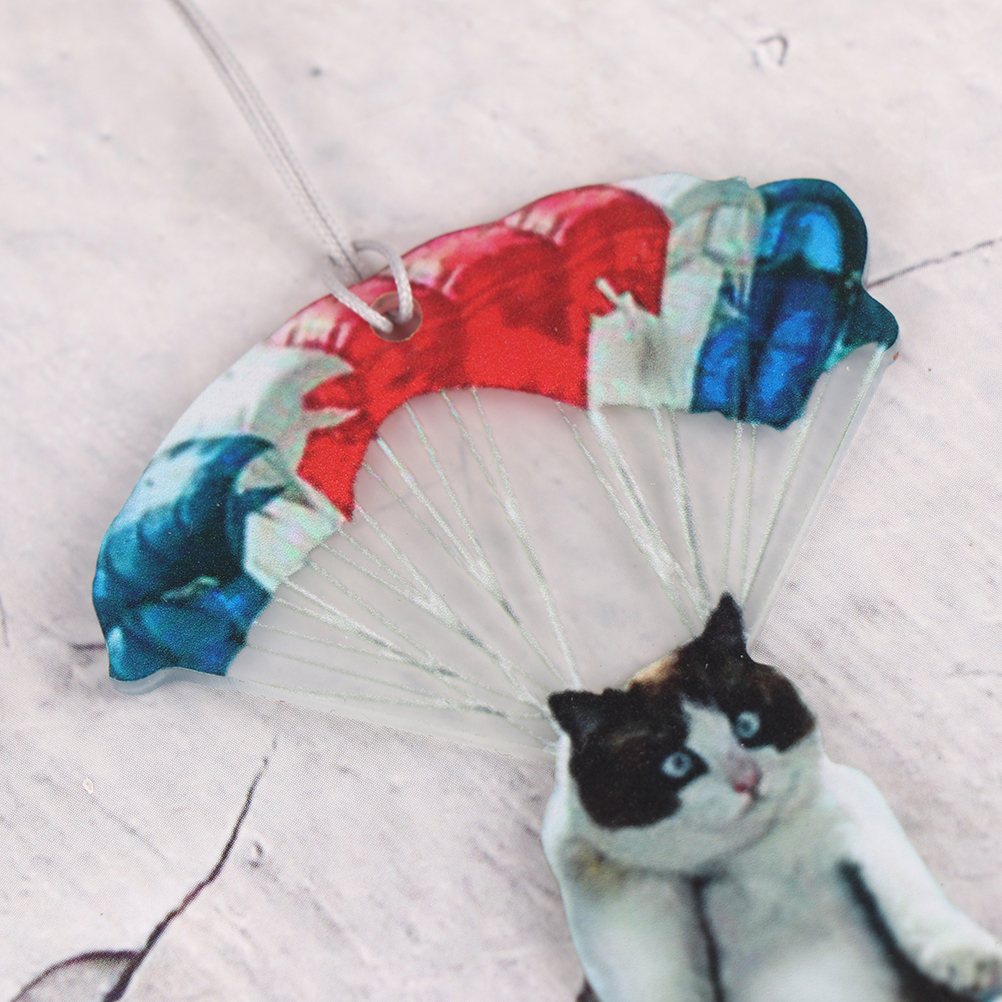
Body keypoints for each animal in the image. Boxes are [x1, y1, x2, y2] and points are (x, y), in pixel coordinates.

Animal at [542, 595, 1002, 1002]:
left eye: (747, 724)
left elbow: (913, 896)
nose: (749, 780)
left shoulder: (856, 815)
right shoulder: (630, 928)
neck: (746, 858)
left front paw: (973, 963)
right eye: (677, 764)